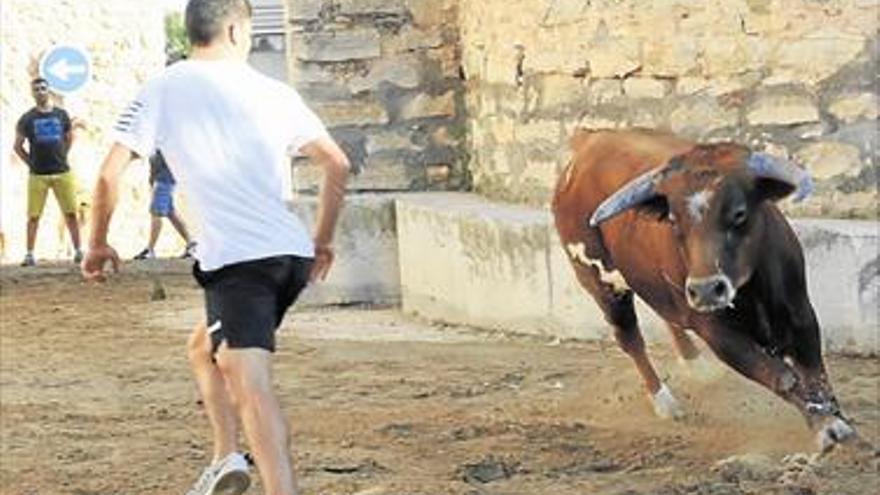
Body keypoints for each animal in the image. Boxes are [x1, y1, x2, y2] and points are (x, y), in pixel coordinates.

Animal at [552, 129, 856, 454]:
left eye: (739, 213)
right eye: (673, 220)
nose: (707, 290)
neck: (752, 291)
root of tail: (587, 141)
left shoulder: (801, 313)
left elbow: (815, 373)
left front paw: (838, 420)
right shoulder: (719, 335)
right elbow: (782, 377)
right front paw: (826, 428)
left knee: (666, 317)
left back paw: (697, 367)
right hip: (600, 283)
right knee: (630, 339)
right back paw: (666, 403)